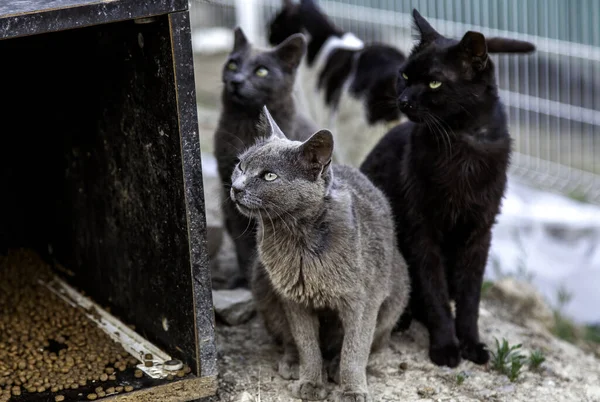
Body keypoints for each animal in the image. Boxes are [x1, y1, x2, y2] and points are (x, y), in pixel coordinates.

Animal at [216, 25, 318, 288]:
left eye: (262, 71)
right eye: (233, 64)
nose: (236, 80)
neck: (245, 124)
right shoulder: (229, 195)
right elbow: (243, 243)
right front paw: (243, 279)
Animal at [229, 107, 408, 402]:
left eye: (269, 176)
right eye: (241, 166)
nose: (236, 187)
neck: (297, 238)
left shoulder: (363, 301)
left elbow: (355, 349)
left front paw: (352, 389)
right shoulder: (294, 298)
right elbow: (307, 344)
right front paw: (311, 382)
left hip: (397, 291)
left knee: (369, 344)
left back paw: (335, 367)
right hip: (262, 284)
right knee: (289, 339)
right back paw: (293, 364)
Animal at [358, 9, 536, 368]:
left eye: (434, 83)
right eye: (405, 75)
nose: (403, 100)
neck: (459, 143)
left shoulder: (480, 233)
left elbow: (469, 298)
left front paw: (471, 344)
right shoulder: (422, 230)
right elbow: (434, 291)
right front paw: (445, 348)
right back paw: (402, 319)